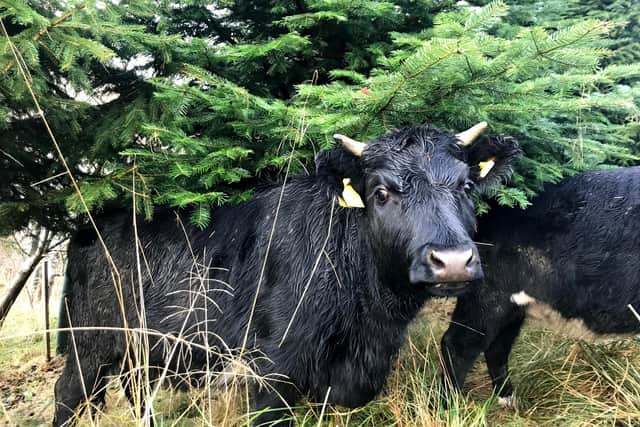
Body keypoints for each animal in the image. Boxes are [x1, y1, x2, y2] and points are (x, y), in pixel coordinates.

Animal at [52, 122, 516, 426]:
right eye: (382, 192)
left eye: (466, 186)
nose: (452, 260)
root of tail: (89, 223)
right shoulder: (273, 368)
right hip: (89, 342)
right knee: (70, 393)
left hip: (140, 350)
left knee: (135, 393)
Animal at [442, 166, 640, 408]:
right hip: (487, 294)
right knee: (458, 344)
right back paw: (448, 407)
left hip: (513, 306)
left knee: (497, 346)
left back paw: (508, 399)